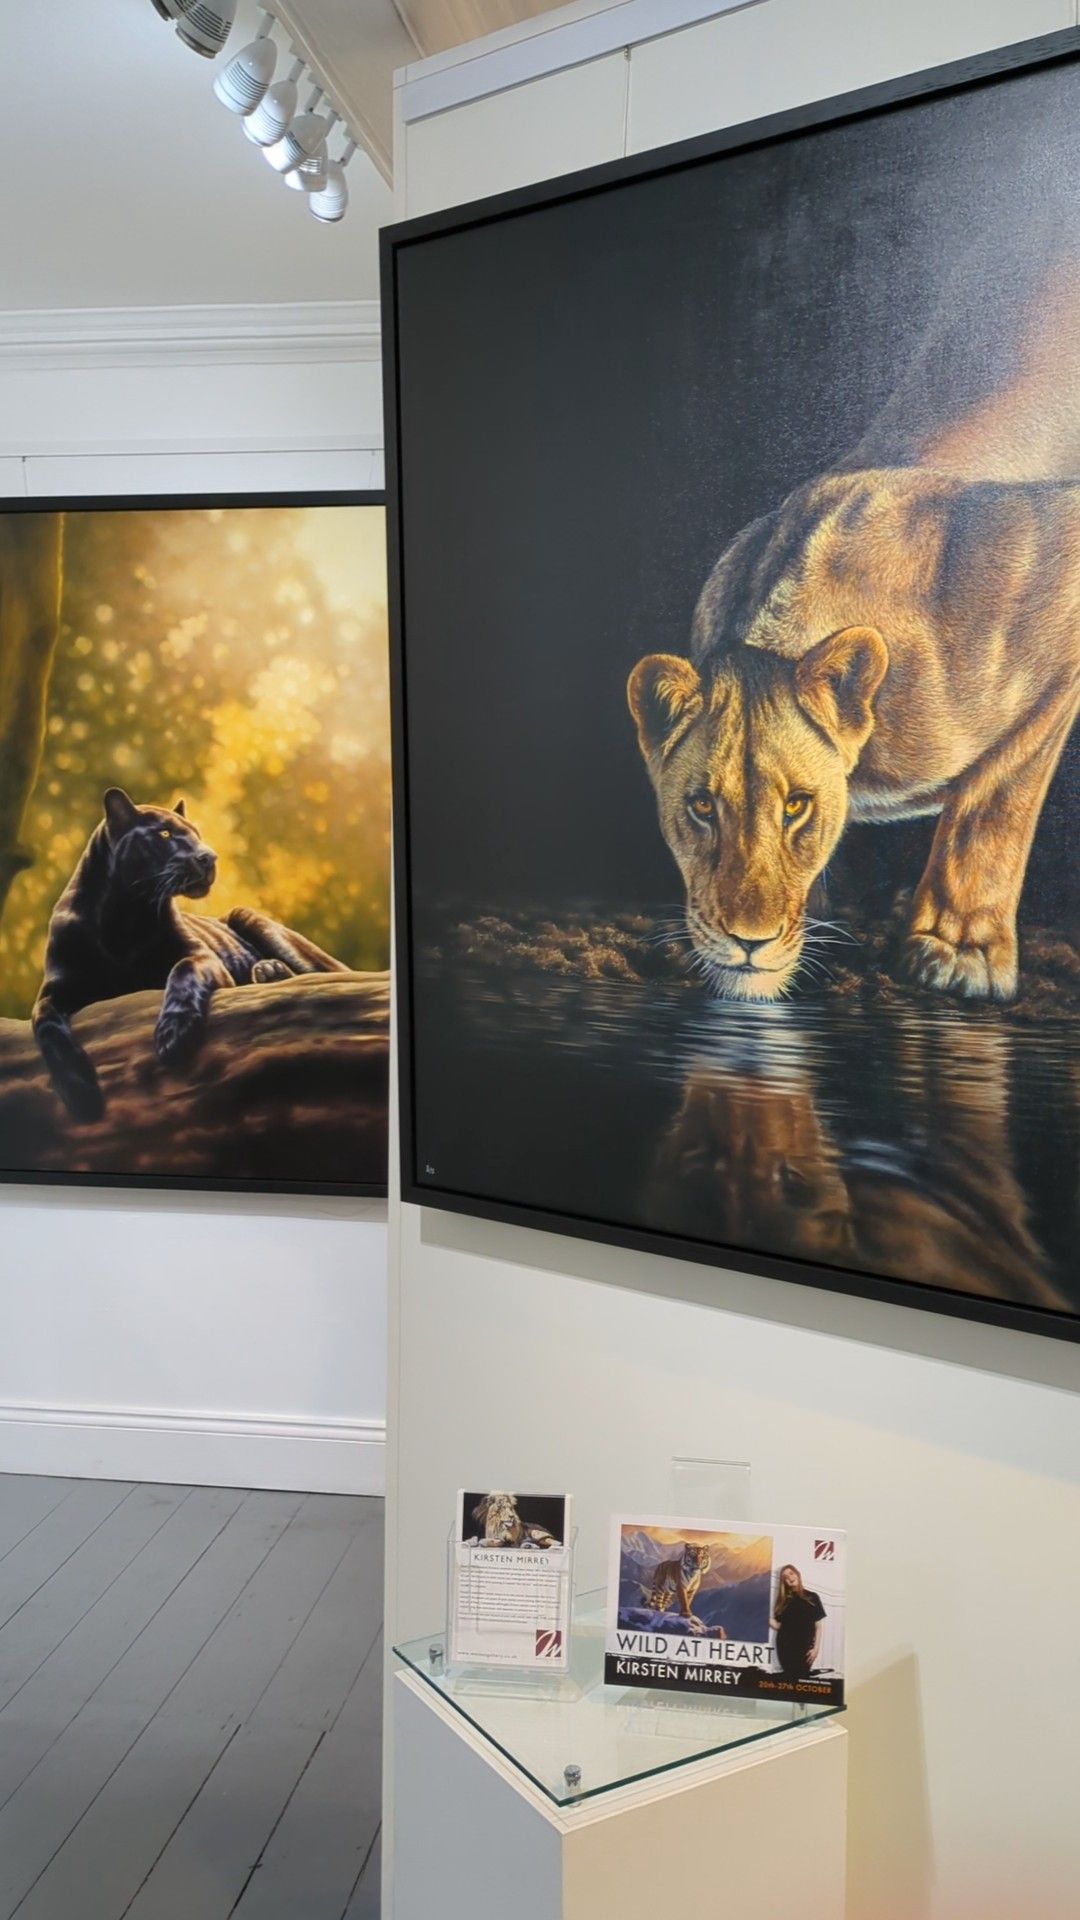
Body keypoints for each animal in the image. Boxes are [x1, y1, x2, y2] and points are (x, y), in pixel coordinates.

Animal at [628, 465, 1080, 1002]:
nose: (749, 942)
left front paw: (961, 953)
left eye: (796, 805)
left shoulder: (1051, 683)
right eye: (701, 806)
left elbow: (991, 811)